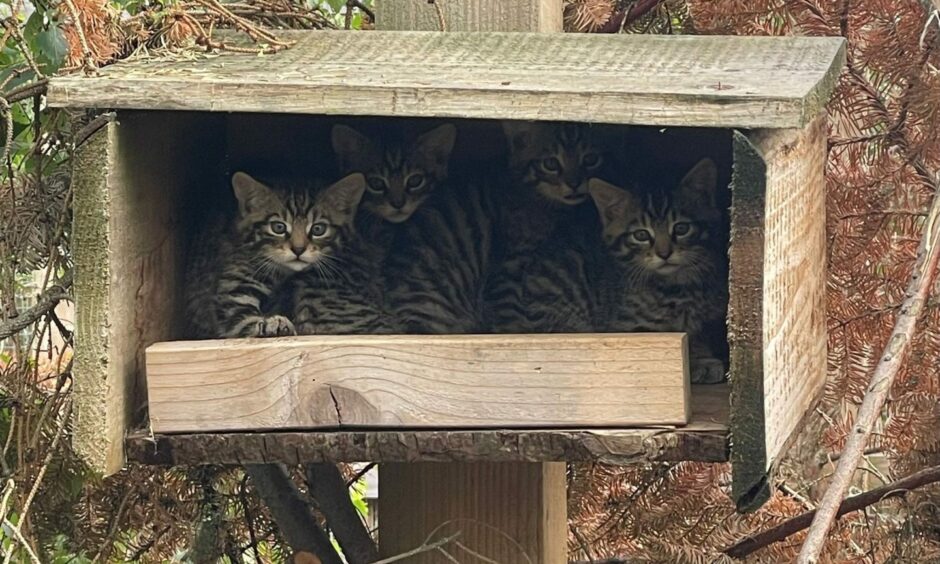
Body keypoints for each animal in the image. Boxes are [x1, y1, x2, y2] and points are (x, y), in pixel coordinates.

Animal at [183, 172, 364, 340]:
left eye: (318, 229)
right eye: (278, 227)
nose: (298, 249)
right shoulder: (234, 287)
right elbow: (240, 319)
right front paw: (270, 324)